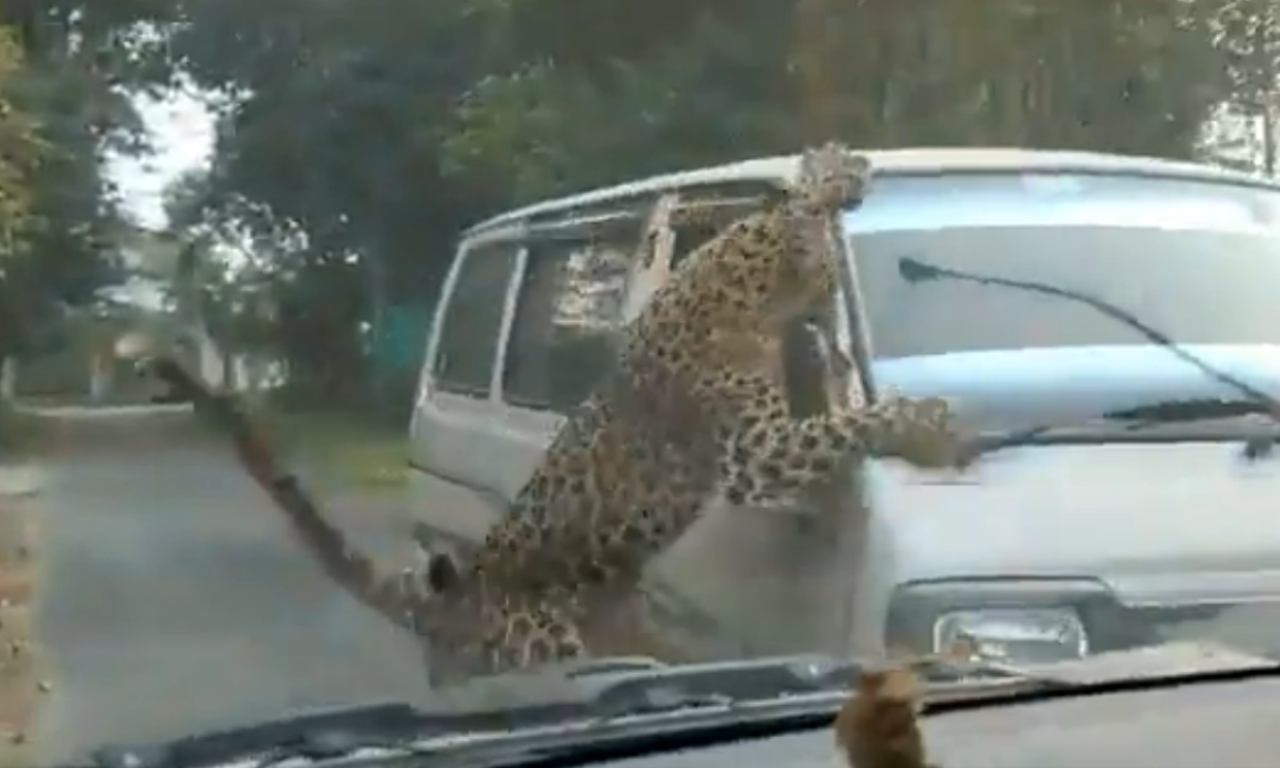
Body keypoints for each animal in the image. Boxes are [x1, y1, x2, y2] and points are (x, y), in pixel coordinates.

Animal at [147, 142, 974, 689]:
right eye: (836, 265)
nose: (852, 171)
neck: (745, 271)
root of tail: (459, 593)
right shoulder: (756, 454)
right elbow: (852, 422)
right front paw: (937, 426)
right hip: (544, 645)